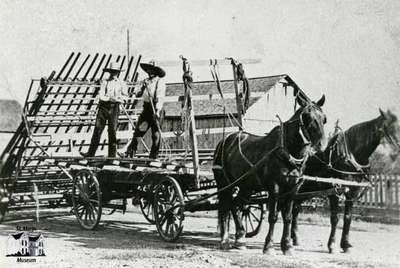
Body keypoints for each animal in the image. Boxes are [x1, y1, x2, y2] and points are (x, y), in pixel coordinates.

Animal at [214, 94, 326, 255]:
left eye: (324, 118)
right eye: (306, 116)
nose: (321, 144)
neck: (288, 153)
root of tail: (225, 140)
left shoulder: (292, 190)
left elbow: (287, 217)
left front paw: (287, 245)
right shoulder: (275, 188)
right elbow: (273, 217)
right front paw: (269, 246)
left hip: (246, 186)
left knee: (237, 205)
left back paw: (240, 238)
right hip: (225, 184)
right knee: (226, 206)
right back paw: (225, 240)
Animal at [290, 108, 400, 252]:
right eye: (390, 126)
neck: (351, 156)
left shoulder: (353, 191)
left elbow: (348, 218)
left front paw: (345, 244)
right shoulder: (334, 190)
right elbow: (335, 218)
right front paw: (331, 244)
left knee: (295, 208)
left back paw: (294, 238)